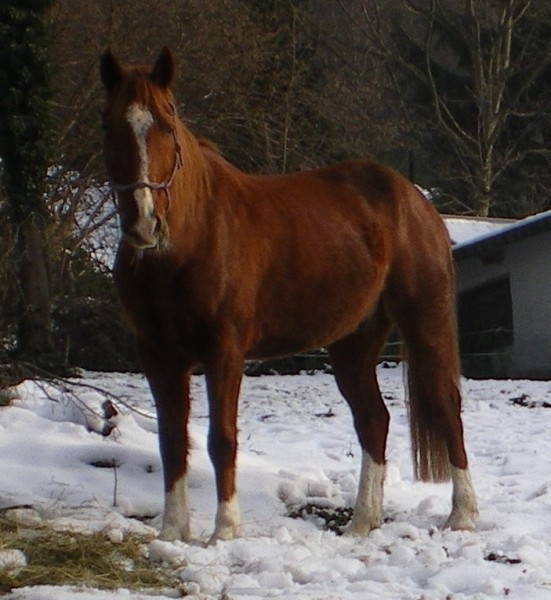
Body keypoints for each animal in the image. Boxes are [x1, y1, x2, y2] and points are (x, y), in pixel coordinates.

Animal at [100, 48, 478, 544]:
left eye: (167, 122)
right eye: (109, 126)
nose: (142, 223)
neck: (191, 239)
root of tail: (415, 201)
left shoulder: (225, 351)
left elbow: (221, 439)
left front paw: (225, 532)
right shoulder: (158, 355)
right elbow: (171, 441)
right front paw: (172, 533)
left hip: (423, 322)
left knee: (447, 407)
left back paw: (462, 515)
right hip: (353, 343)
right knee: (373, 420)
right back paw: (362, 522)